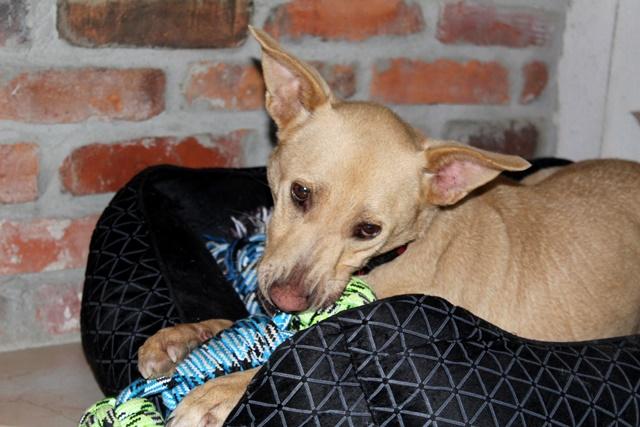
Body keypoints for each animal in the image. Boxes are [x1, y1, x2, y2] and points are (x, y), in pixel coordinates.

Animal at [140, 27, 640, 426]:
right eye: (300, 193)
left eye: (368, 230)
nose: (287, 299)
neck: (408, 248)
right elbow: (245, 326)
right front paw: (187, 335)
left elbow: (276, 359)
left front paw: (221, 390)